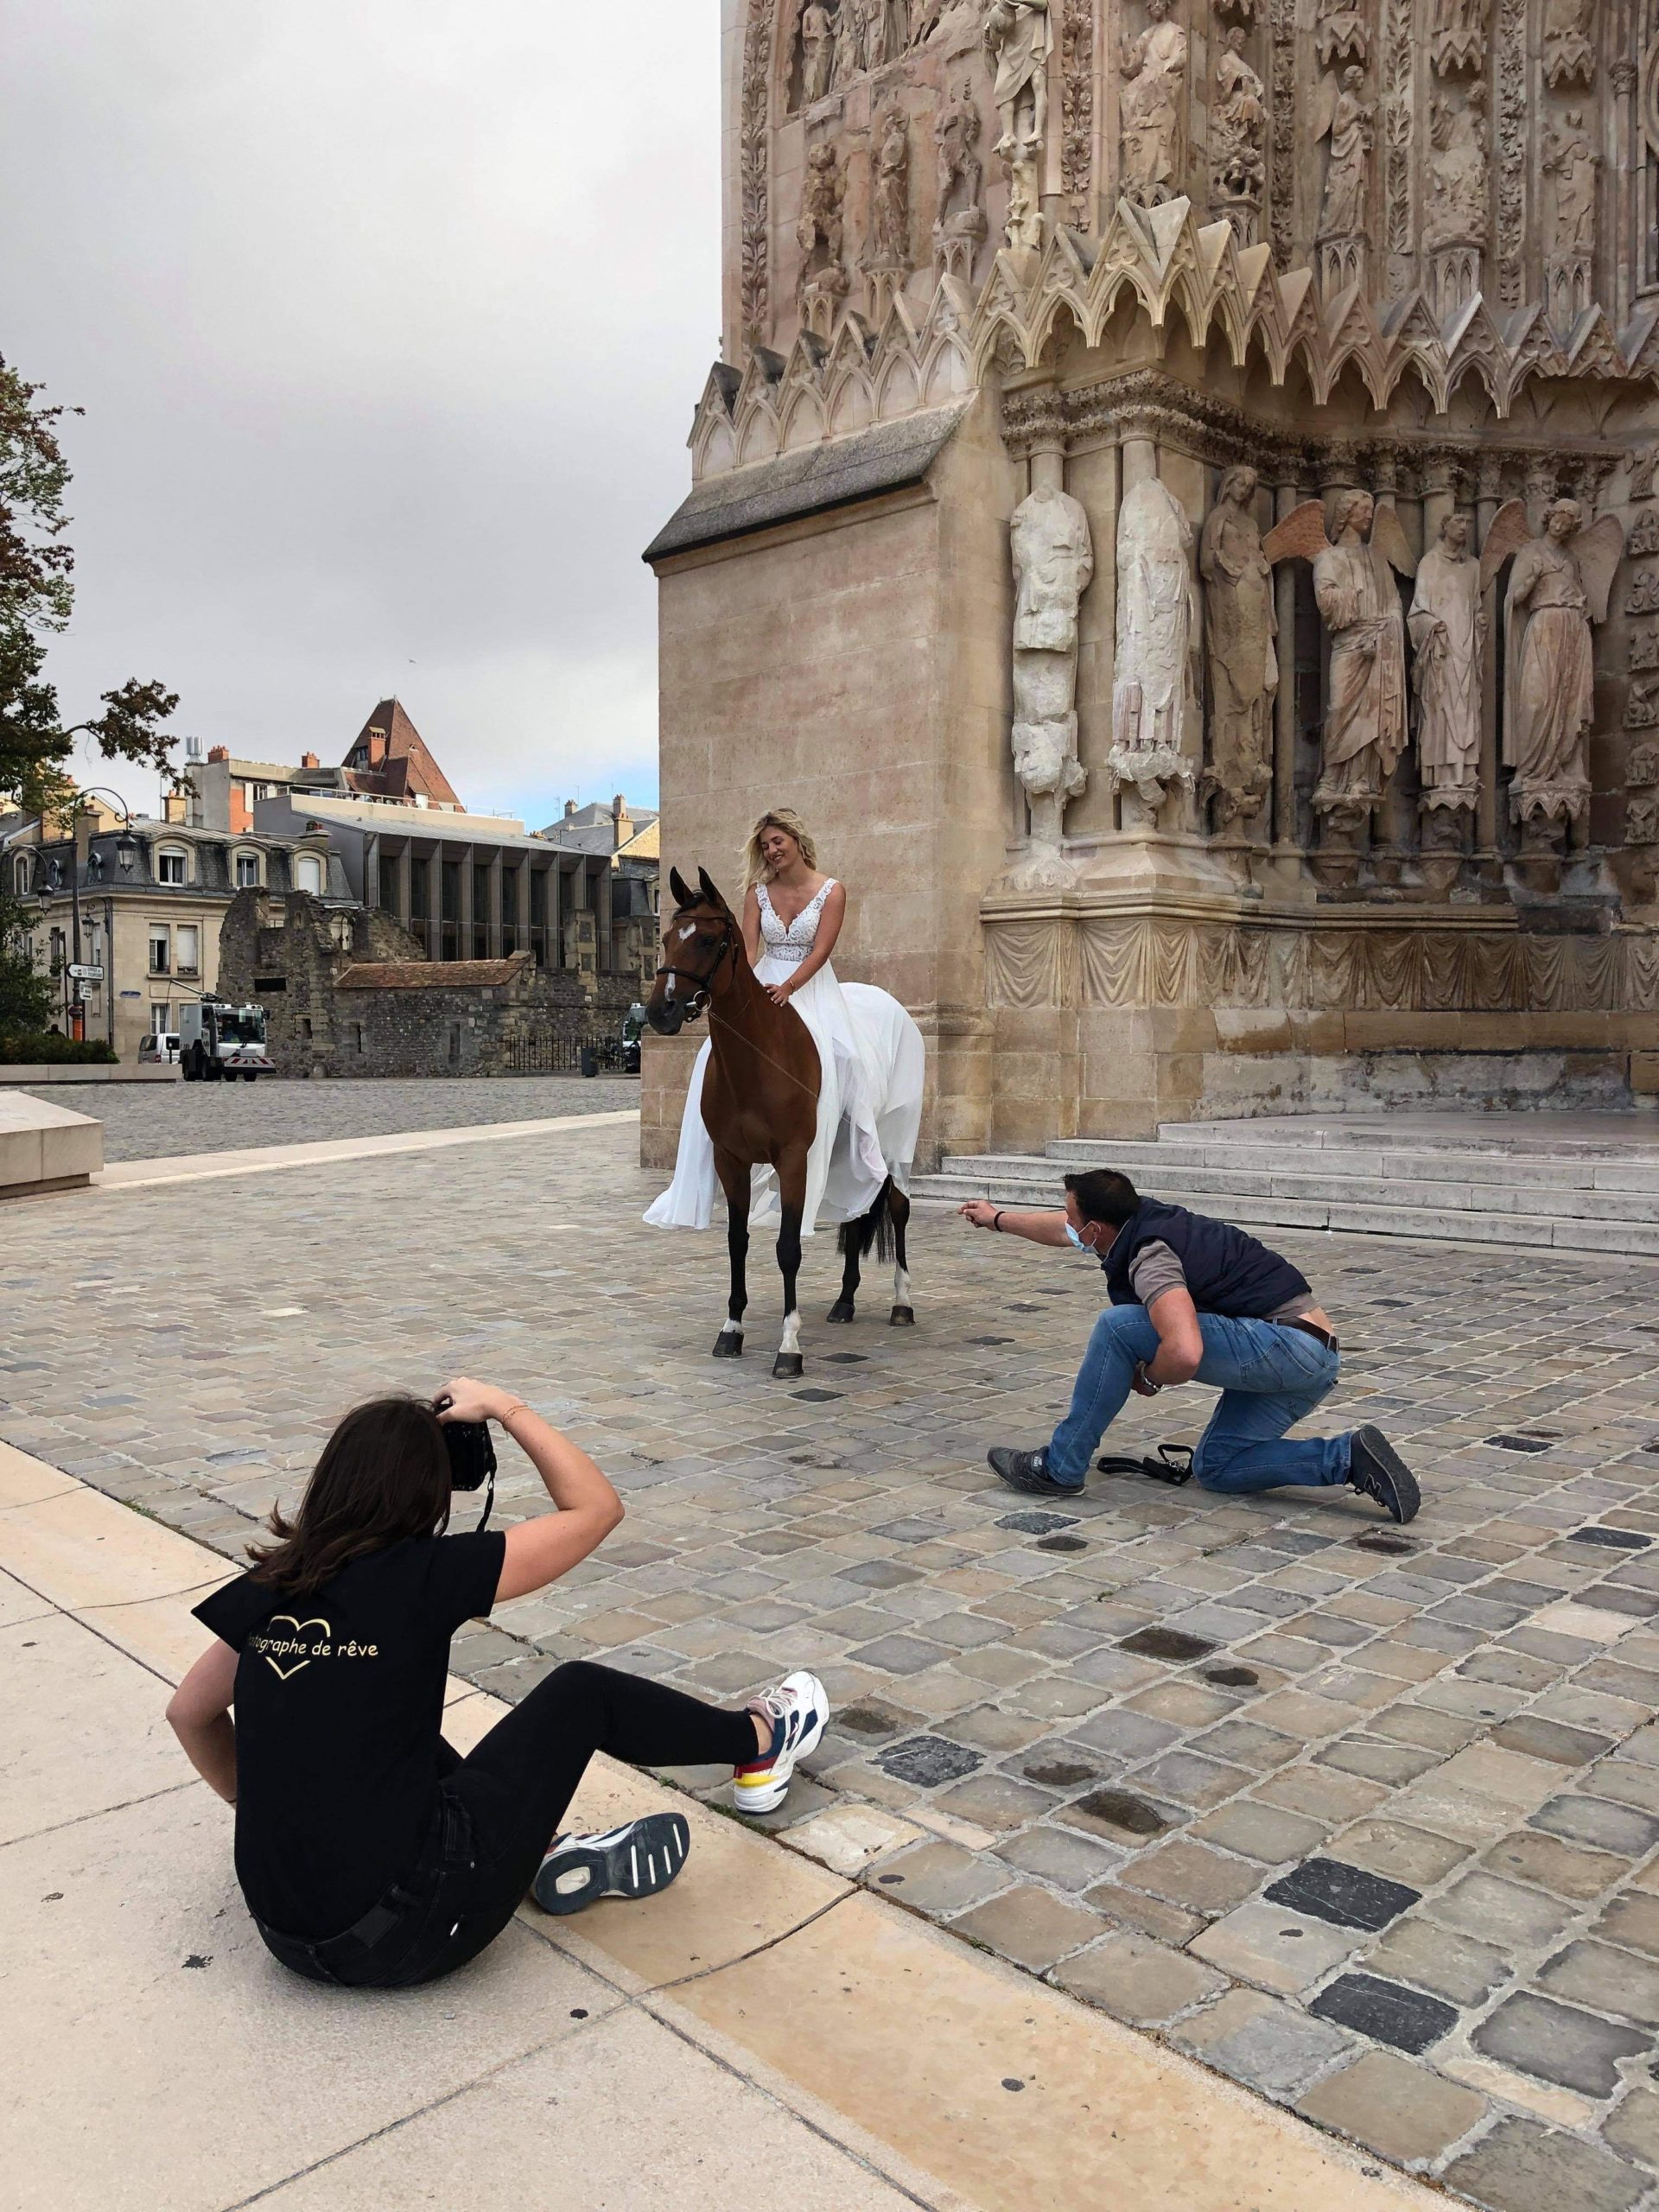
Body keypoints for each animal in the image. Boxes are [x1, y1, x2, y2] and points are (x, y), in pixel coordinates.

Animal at [641, 867, 915, 1371]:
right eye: (667, 938)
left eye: (708, 940)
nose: (660, 1012)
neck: (759, 1057)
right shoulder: (731, 1160)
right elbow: (737, 1240)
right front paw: (731, 1330)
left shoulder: (793, 1160)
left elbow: (788, 1247)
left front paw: (789, 1346)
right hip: (847, 1149)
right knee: (856, 1212)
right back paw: (844, 1302)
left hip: (893, 1145)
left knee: (898, 1208)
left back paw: (902, 1302)